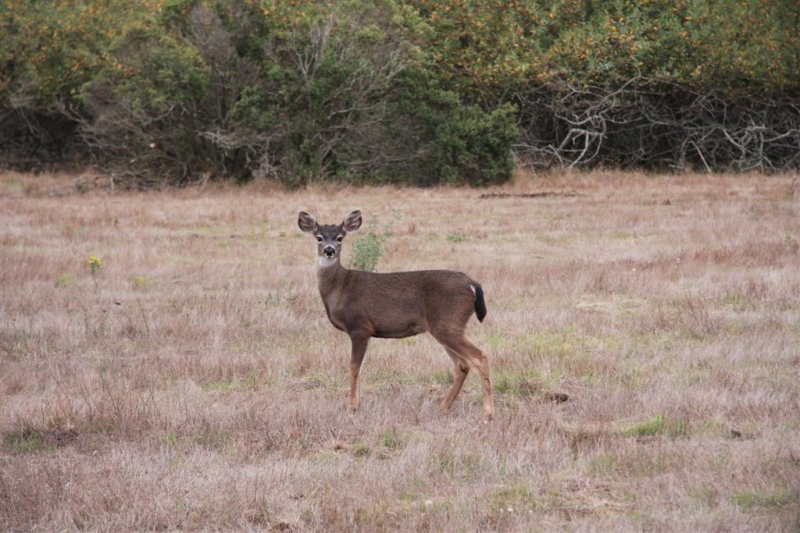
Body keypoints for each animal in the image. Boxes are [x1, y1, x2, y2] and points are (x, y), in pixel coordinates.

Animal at [298, 210, 494, 420]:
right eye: (319, 237)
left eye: (340, 237)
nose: (329, 250)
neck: (340, 288)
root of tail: (472, 284)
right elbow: (360, 366)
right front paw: (357, 404)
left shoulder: (360, 326)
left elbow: (354, 366)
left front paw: (352, 406)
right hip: (446, 326)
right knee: (462, 365)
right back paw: (443, 407)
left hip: (448, 322)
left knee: (480, 357)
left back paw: (487, 413)